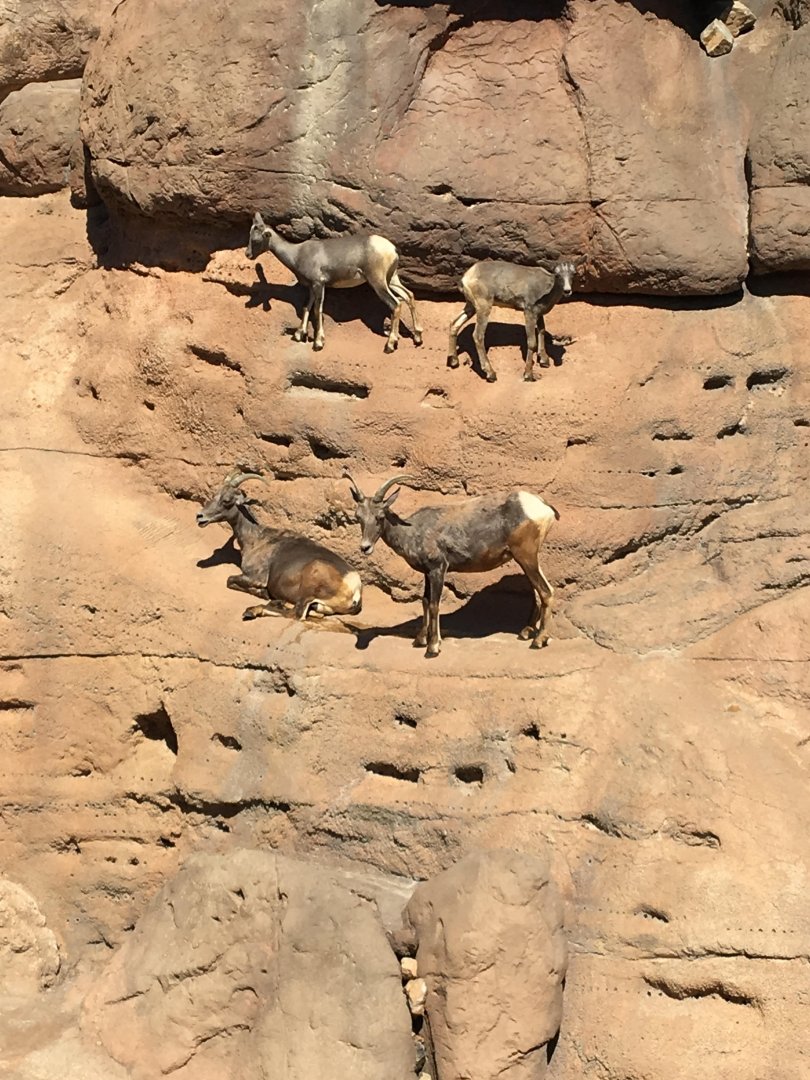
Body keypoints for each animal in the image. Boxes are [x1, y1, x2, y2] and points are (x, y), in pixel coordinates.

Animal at [196, 466, 362, 622]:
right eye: (215, 495)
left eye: (227, 500)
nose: (200, 516)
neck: (256, 539)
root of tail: (354, 587)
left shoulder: (255, 578)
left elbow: (230, 580)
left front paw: (263, 593)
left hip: (307, 590)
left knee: (296, 614)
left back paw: (253, 610)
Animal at [246, 211, 423, 353]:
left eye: (255, 239)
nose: (248, 254)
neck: (297, 253)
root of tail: (392, 249)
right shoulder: (312, 288)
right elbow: (306, 307)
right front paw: (298, 334)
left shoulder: (319, 284)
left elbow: (317, 310)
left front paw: (318, 343)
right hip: (391, 280)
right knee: (409, 295)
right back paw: (418, 337)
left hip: (378, 282)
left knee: (396, 304)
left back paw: (390, 345)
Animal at [344, 472, 559, 658]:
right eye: (358, 517)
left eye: (380, 517)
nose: (365, 547)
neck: (413, 531)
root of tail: (542, 507)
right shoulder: (427, 573)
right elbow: (424, 601)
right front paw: (419, 640)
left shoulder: (438, 569)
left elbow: (434, 604)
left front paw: (432, 648)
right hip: (526, 560)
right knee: (540, 591)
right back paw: (526, 633)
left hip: (526, 556)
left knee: (546, 591)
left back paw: (538, 641)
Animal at [447, 259, 576, 382]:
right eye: (557, 275)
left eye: (573, 274)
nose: (567, 291)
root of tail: (467, 277)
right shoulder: (529, 313)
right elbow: (532, 343)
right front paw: (528, 375)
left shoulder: (538, 314)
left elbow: (542, 331)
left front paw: (544, 361)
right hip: (483, 307)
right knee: (477, 336)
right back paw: (491, 374)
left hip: (471, 306)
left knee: (454, 324)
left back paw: (453, 361)